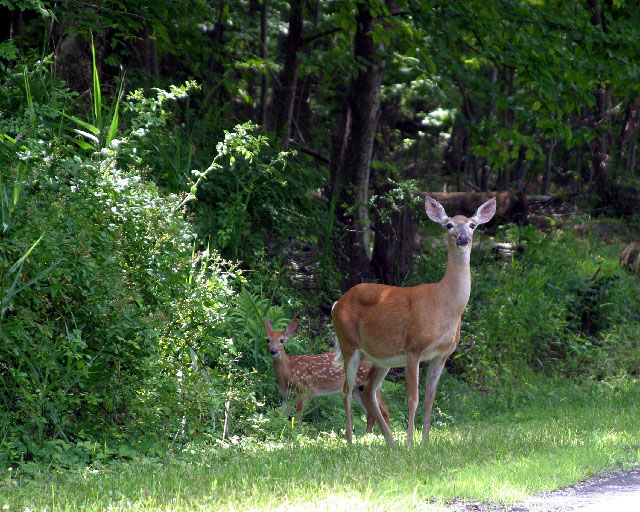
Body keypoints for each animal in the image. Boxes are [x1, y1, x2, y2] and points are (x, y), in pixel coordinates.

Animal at [332, 196, 498, 444]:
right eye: (448, 225)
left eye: (472, 225)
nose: (463, 238)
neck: (446, 305)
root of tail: (337, 304)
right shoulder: (413, 348)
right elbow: (413, 399)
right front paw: (411, 443)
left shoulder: (442, 355)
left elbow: (430, 399)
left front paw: (425, 443)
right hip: (349, 345)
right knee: (346, 391)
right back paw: (352, 443)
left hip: (382, 357)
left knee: (367, 389)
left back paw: (391, 443)